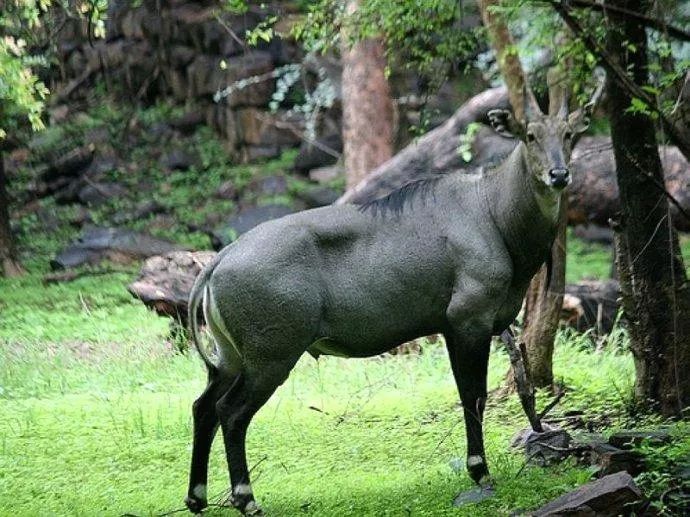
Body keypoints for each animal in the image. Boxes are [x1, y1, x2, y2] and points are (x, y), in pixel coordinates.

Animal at [181, 78, 596, 512]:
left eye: (569, 134)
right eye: (530, 135)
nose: (559, 174)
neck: (492, 212)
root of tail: (219, 261)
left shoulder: (462, 327)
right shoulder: (469, 320)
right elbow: (474, 396)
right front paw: (480, 471)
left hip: (232, 358)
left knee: (203, 406)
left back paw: (196, 497)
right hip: (272, 356)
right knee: (231, 412)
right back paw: (246, 499)